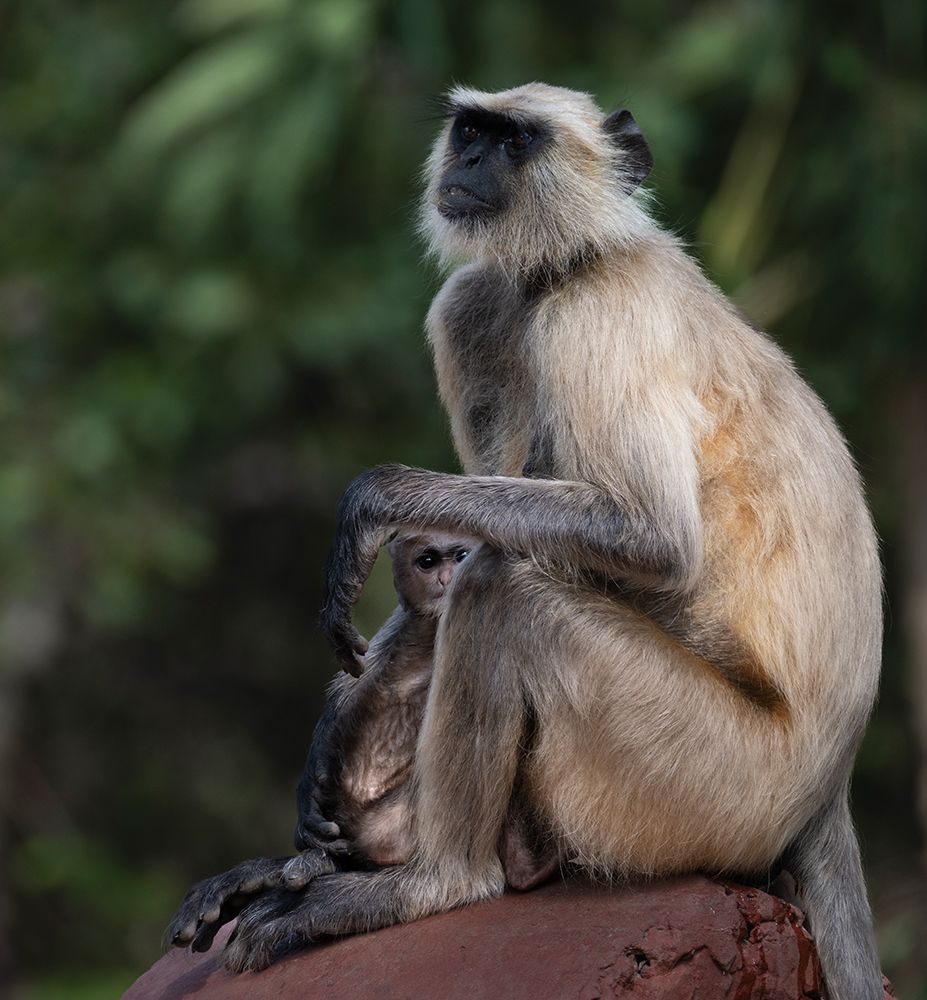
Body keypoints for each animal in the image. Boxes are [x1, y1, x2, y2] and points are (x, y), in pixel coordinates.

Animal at [167, 84, 883, 999]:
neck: (571, 262)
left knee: (505, 589)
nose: (470, 161)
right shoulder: (477, 308)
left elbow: (647, 539)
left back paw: (434, 881)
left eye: (514, 143)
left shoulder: (596, 314)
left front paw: (378, 496)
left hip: (712, 784)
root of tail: (828, 788)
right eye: (471, 131)